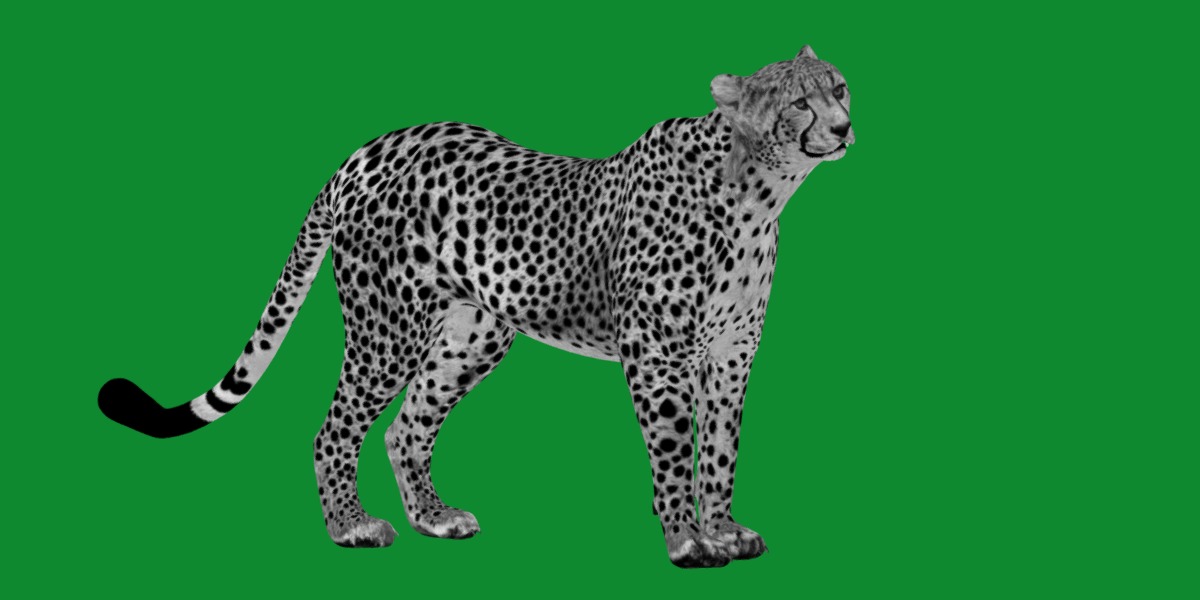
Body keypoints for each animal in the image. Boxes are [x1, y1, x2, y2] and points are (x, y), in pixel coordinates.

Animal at [98, 46, 854, 568]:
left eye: (839, 88)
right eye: (799, 104)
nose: (845, 127)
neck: (760, 195)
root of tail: (373, 146)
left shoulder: (730, 356)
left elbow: (722, 447)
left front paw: (725, 529)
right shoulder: (656, 356)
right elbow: (673, 450)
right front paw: (688, 541)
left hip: (473, 335)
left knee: (406, 429)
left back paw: (432, 517)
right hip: (388, 331)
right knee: (335, 429)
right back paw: (351, 527)